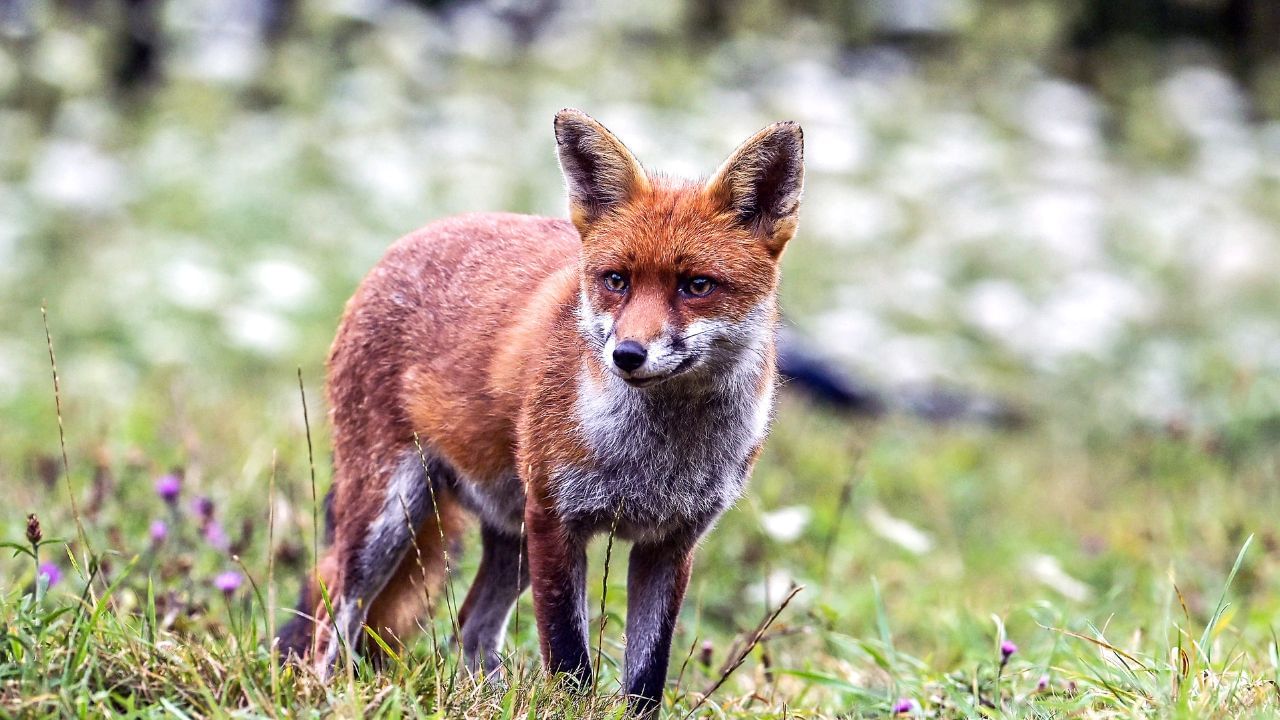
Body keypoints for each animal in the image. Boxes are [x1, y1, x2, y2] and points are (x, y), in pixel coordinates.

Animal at [277, 109, 798, 707]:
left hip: (509, 536)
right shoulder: (555, 518)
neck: (658, 457)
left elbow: (646, 675)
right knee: (333, 608)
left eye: (697, 286)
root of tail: (403, 245)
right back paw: (322, 692)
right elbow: (569, 659)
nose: (626, 354)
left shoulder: (671, 543)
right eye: (616, 280)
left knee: (471, 627)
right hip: (389, 514)